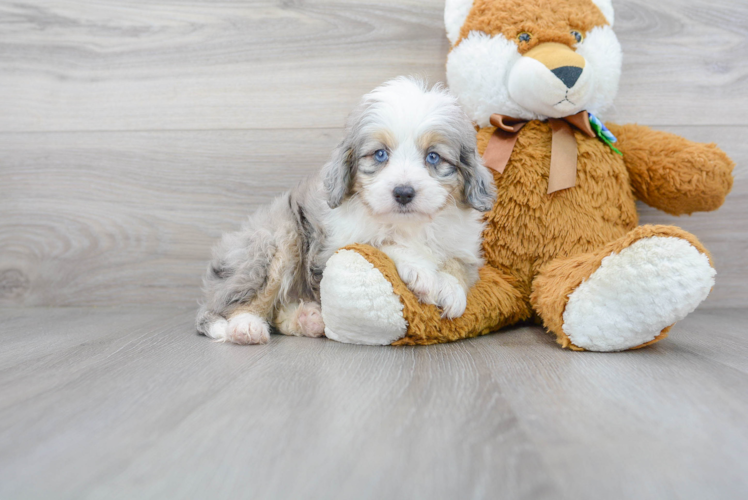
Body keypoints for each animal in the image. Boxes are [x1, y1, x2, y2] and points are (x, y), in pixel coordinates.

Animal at [197, 77, 496, 344]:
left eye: (433, 156)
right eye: (380, 154)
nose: (403, 192)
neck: (409, 225)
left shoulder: (464, 246)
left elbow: (458, 264)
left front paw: (451, 288)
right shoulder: (335, 244)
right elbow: (382, 243)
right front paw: (420, 271)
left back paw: (309, 320)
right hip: (277, 241)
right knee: (234, 304)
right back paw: (246, 327)